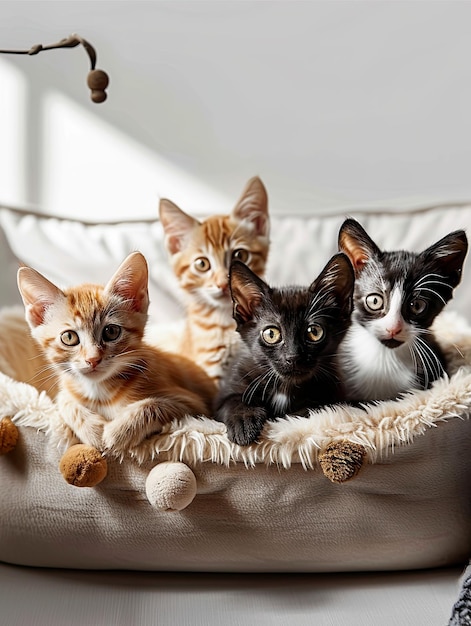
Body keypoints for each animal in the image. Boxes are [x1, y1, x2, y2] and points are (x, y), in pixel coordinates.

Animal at [16, 250, 216, 454]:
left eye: (111, 332)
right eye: (69, 337)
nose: (93, 359)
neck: (99, 393)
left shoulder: (194, 404)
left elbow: (154, 404)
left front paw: (119, 431)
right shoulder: (67, 390)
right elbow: (64, 400)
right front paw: (93, 431)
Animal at [214, 252, 354, 444]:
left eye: (314, 332)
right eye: (271, 334)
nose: (293, 356)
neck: (285, 387)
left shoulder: (336, 394)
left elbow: (312, 408)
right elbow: (231, 401)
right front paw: (244, 420)